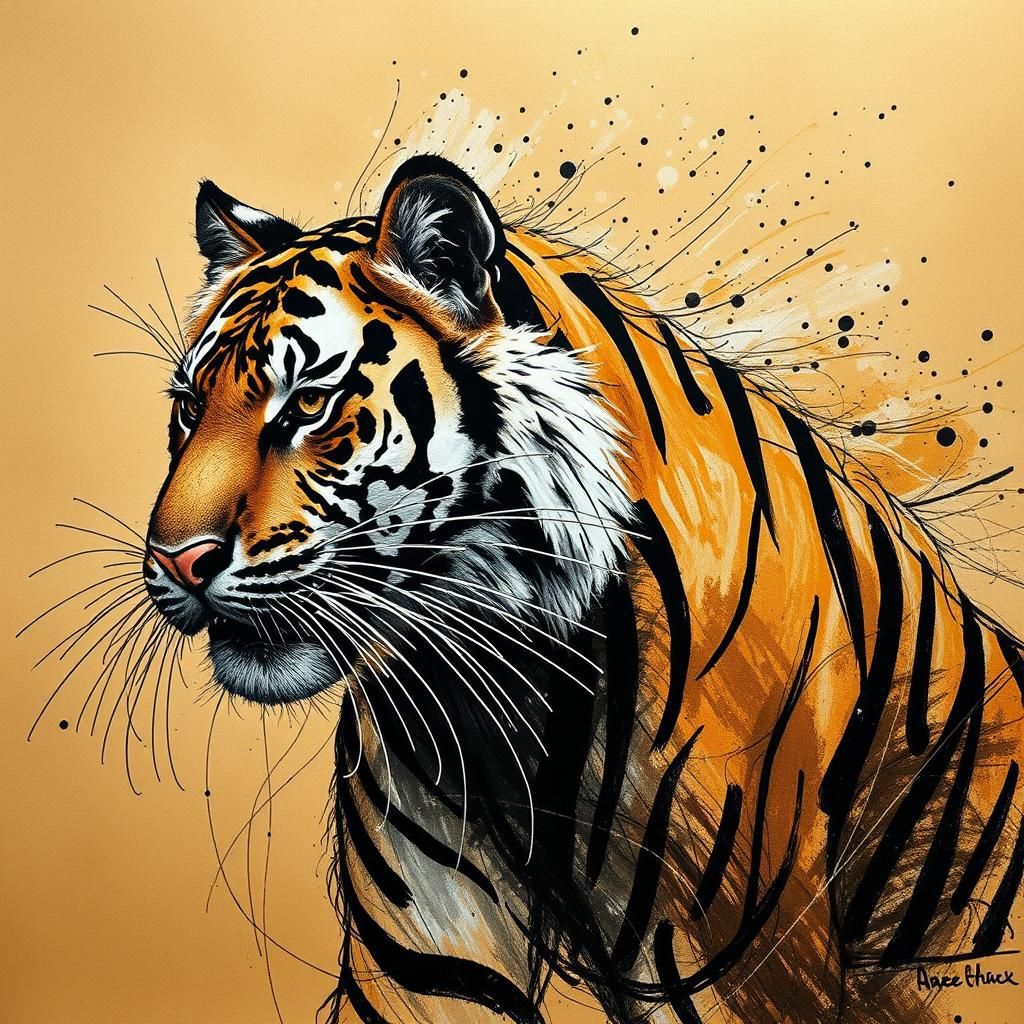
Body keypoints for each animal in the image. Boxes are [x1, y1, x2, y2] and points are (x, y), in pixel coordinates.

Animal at [138, 154, 1024, 1024]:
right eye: (187, 408)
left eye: (310, 405)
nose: (177, 562)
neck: (501, 704)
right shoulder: (429, 966)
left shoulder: (739, 972)